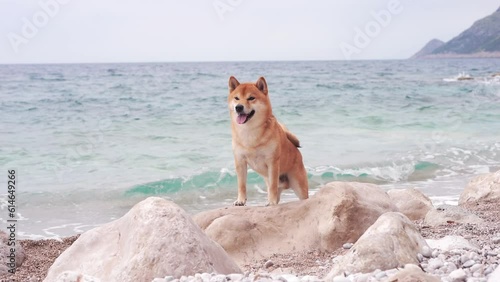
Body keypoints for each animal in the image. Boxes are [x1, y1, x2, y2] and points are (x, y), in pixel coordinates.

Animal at [228, 76, 308, 206]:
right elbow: (241, 185)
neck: (250, 132)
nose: (238, 107)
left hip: (299, 186)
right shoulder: (240, 161)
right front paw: (241, 200)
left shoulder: (272, 162)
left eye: (251, 98)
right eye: (236, 98)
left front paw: (271, 202)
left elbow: (272, 186)